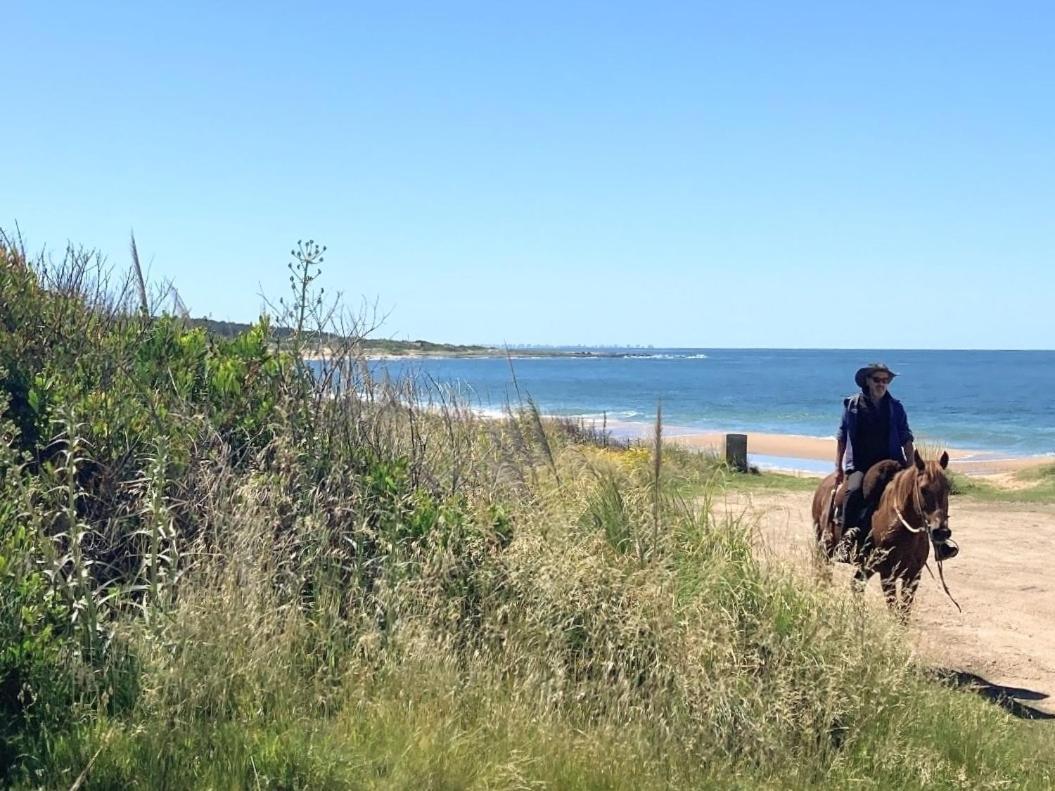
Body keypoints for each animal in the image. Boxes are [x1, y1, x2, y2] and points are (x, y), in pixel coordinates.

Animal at [810, 451, 953, 620]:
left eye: (947, 488)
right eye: (923, 489)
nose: (941, 531)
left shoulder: (913, 576)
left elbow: (903, 615)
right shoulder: (887, 575)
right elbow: (894, 611)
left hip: (866, 566)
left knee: (856, 585)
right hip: (825, 552)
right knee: (824, 578)